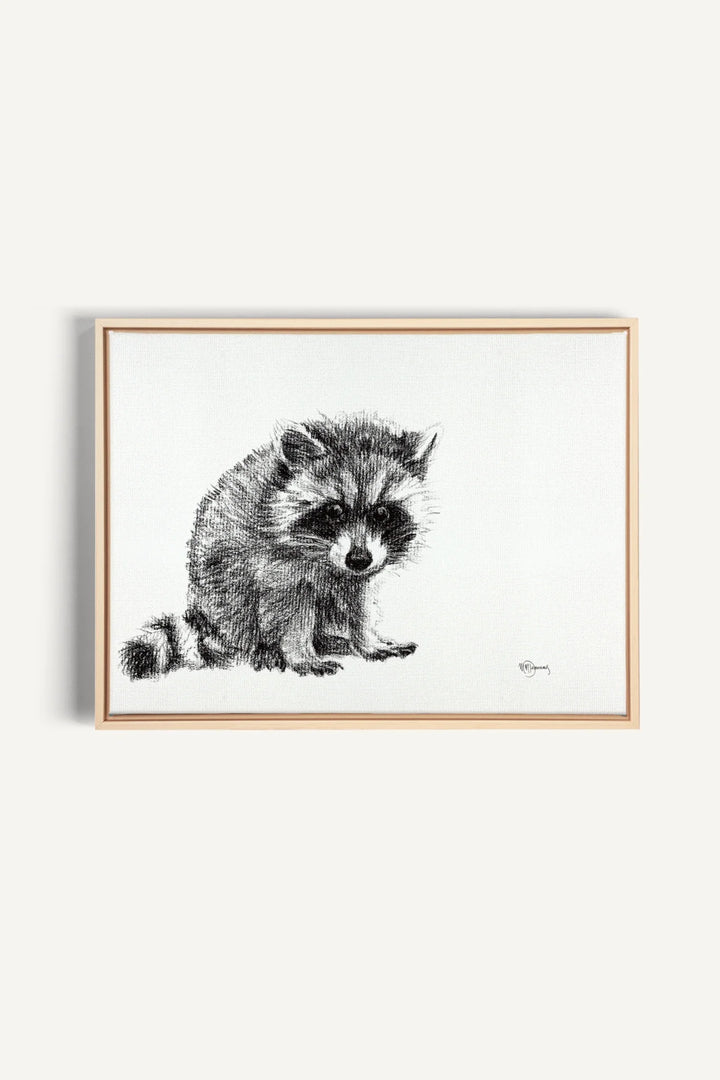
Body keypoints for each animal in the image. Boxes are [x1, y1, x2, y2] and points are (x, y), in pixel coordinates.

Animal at [120, 413, 438, 679]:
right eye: (334, 510)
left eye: (382, 513)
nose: (358, 559)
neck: (326, 556)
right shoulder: (274, 562)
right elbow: (290, 609)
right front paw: (300, 653)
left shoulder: (361, 568)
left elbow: (359, 602)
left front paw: (367, 640)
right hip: (218, 587)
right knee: (237, 605)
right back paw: (263, 648)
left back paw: (330, 639)